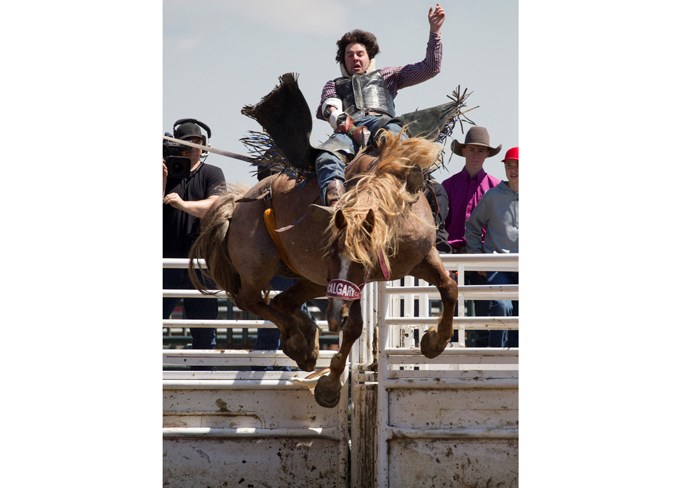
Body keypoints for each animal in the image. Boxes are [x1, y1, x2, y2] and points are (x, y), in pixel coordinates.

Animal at [187, 131, 456, 408]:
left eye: (363, 262)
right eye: (330, 253)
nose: (335, 319)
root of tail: (237, 205)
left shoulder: (420, 258)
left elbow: (449, 288)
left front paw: (435, 341)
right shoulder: (348, 288)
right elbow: (354, 327)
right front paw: (329, 387)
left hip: (312, 279)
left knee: (283, 302)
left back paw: (306, 341)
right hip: (259, 268)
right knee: (251, 301)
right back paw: (299, 342)